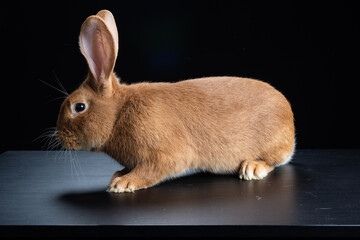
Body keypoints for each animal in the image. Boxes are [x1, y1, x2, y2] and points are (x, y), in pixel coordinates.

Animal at [56, 9, 296, 193]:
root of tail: (290, 120)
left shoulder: (165, 154)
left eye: (79, 107)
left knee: (272, 162)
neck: (118, 113)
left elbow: (151, 170)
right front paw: (118, 174)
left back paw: (252, 168)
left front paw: (122, 183)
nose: (60, 137)